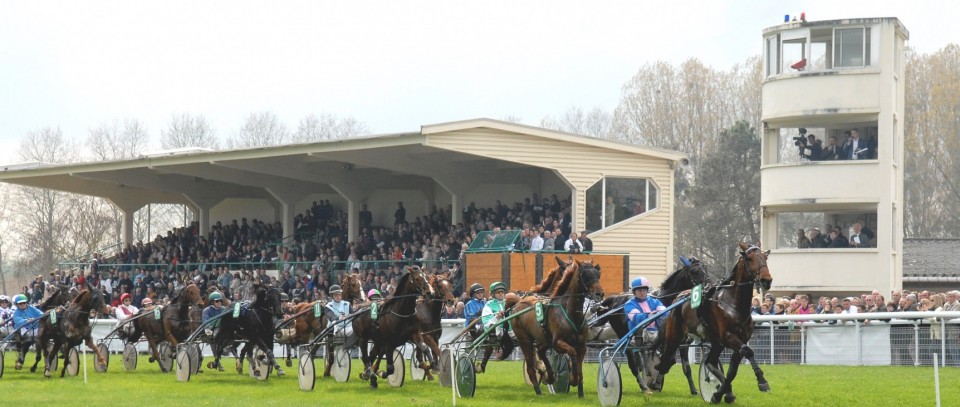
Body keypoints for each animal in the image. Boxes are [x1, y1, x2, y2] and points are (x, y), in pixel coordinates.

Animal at [502, 260, 600, 396]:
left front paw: (580, 390)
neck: (570, 313)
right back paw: (538, 389)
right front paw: (572, 378)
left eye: (597, 274)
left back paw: (549, 376)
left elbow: (579, 365)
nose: (600, 293)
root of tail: (518, 302)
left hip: (544, 339)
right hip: (524, 339)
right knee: (530, 366)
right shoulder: (558, 342)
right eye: (584, 275)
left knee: (540, 350)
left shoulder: (581, 345)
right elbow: (572, 352)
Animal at [592, 258, 712, 396]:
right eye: (695, 271)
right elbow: (667, 360)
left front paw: (694, 389)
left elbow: (685, 367)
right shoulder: (664, 341)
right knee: (633, 365)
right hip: (624, 336)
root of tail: (614, 300)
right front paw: (655, 382)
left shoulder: (683, 343)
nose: (709, 285)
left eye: (705, 268)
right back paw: (643, 386)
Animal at [656, 242, 776, 404]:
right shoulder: (728, 336)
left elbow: (732, 371)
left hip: (715, 342)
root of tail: (678, 298)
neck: (734, 304)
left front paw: (720, 394)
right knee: (665, 360)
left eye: (765, 257)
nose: (766, 280)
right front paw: (762, 381)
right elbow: (748, 351)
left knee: (710, 362)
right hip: (674, 337)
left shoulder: (740, 339)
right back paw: (652, 385)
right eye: (749, 258)